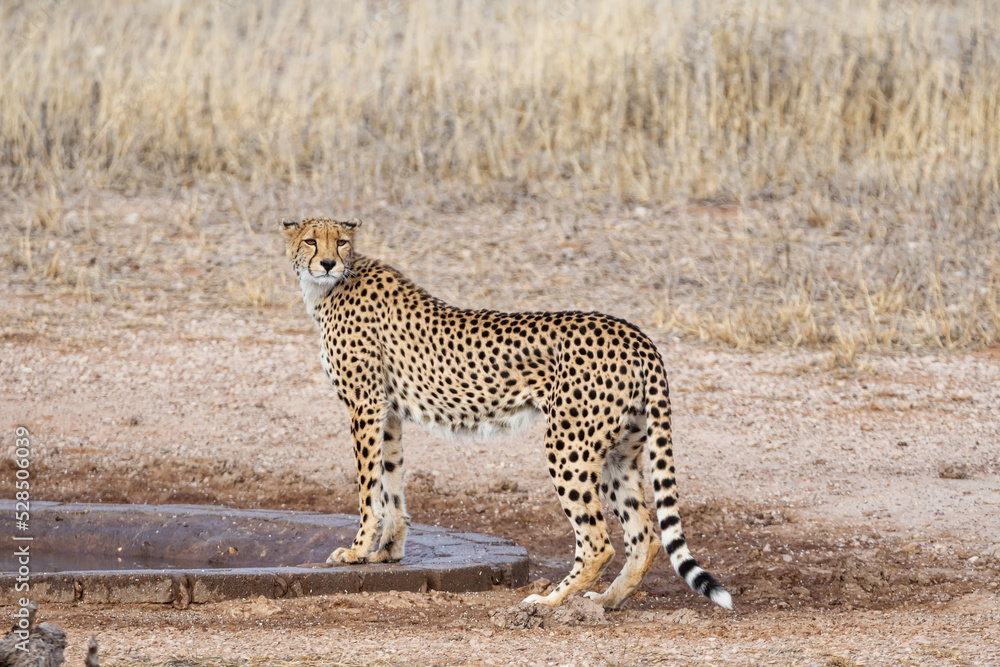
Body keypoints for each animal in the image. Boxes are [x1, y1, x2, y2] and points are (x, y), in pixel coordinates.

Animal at [281, 216, 732, 610]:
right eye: (311, 241)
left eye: (340, 242)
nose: (327, 263)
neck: (332, 286)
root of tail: (633, 333)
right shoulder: (387, 413)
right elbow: (391, 481)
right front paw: (387, 551)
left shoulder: (365, 405)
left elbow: (368, 487)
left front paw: (357, 550)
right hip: (620, 452)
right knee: (645, 536)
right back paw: (605, 601)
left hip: (568, 446)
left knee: (597, 542)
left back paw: (548, 601)